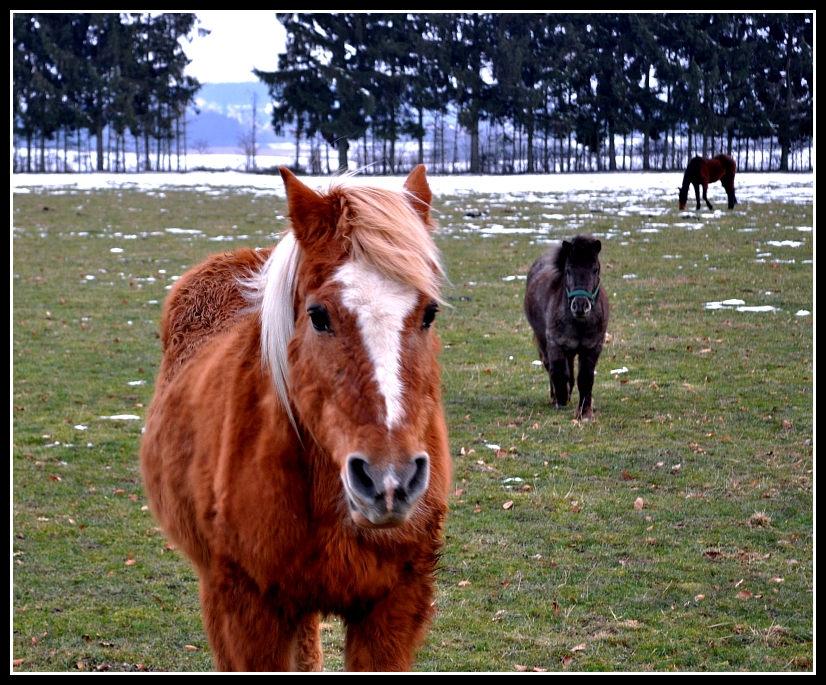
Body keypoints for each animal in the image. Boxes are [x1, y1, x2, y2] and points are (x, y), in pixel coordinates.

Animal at [524, 235, 608, 420]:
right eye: (568, 270)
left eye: (595, 269)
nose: (581, 306)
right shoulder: (555, 345)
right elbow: (559, 373)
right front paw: (561, 399)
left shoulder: (592, 348)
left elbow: (585, 378)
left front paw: (585, 412)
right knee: (551, 367)